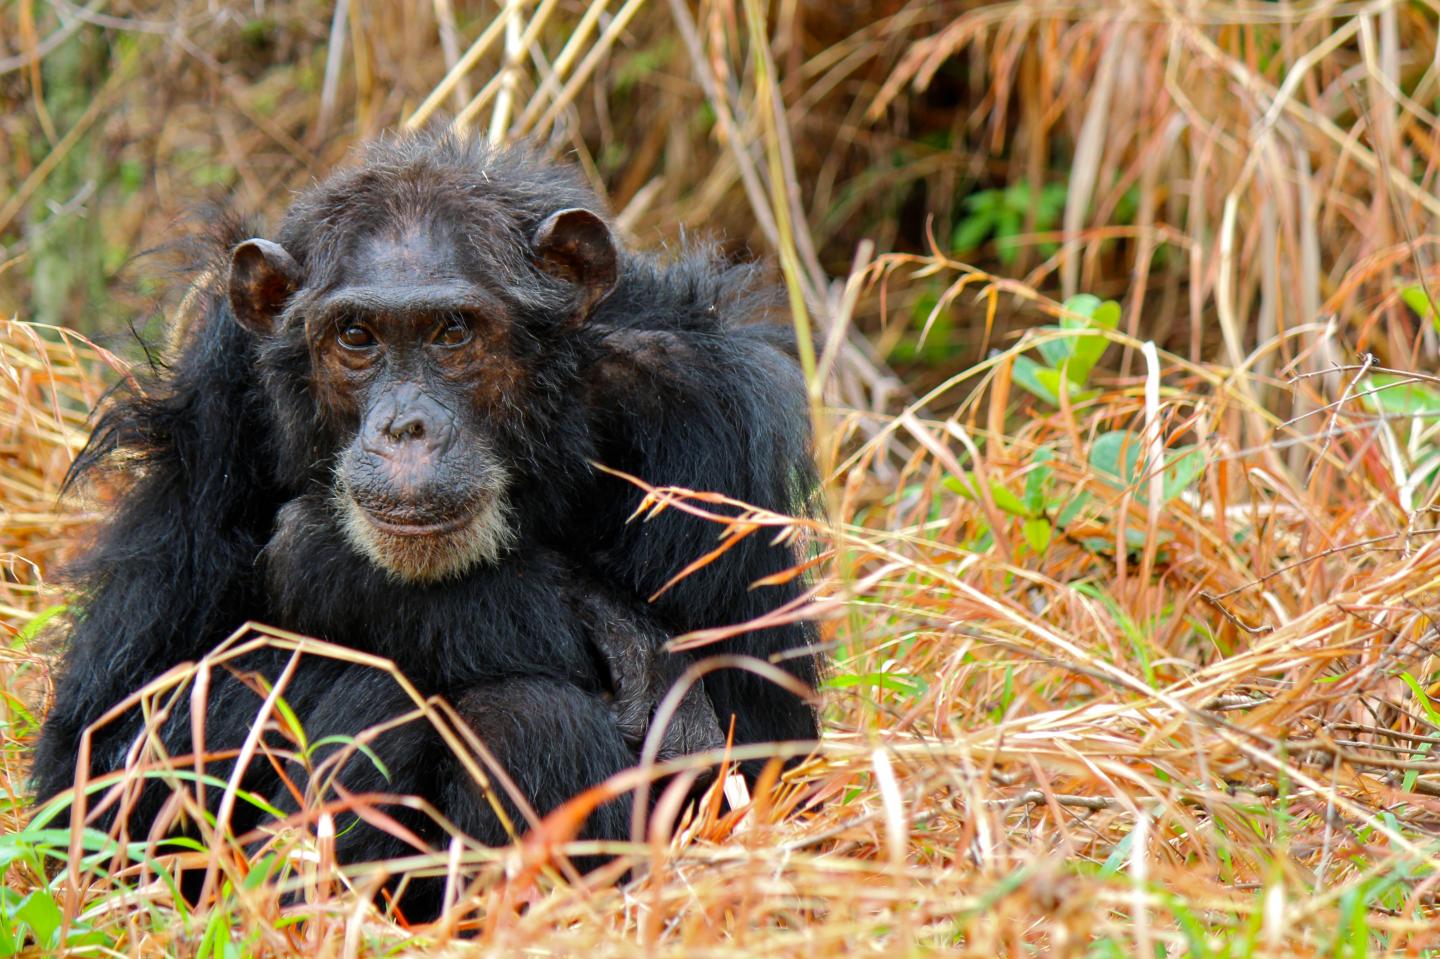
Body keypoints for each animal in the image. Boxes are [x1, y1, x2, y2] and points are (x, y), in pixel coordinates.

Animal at [30, 128, 823, 904]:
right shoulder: (213, 405)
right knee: (378, 689)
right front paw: (595, 620)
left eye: (452, 331)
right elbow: (109, 754)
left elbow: (758, 754)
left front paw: (325, 559)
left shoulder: (704, 413)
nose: (405, 426)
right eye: (356, 336)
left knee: (521, 714)